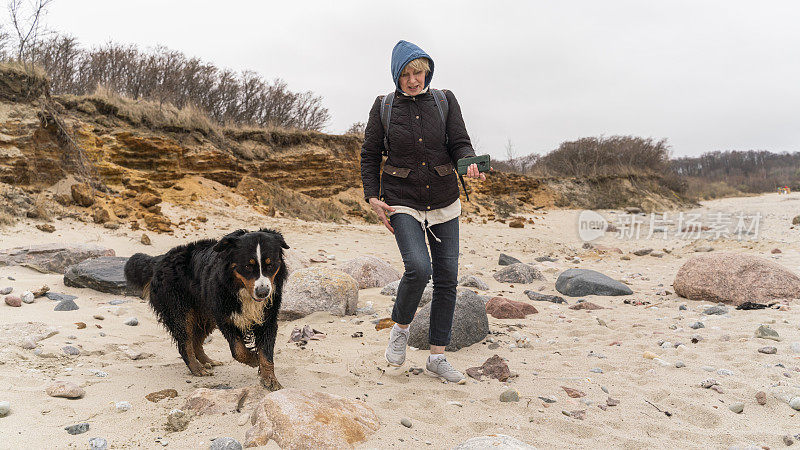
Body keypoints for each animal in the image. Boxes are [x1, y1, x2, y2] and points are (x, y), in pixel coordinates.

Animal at [122, 229, 288, 390]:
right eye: (247, 266)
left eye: (270, 265)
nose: (263, 292)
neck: (240, 289)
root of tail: (161, 259)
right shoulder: (225, 317)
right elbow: (238, 350)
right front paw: (254, 359)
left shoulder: (267, 319)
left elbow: (266, 353)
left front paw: (270, 379)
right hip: (180, 311)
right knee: (185, 343)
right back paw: (197, 368)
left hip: (205, 313)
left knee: (196, 341)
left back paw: (208, 361)